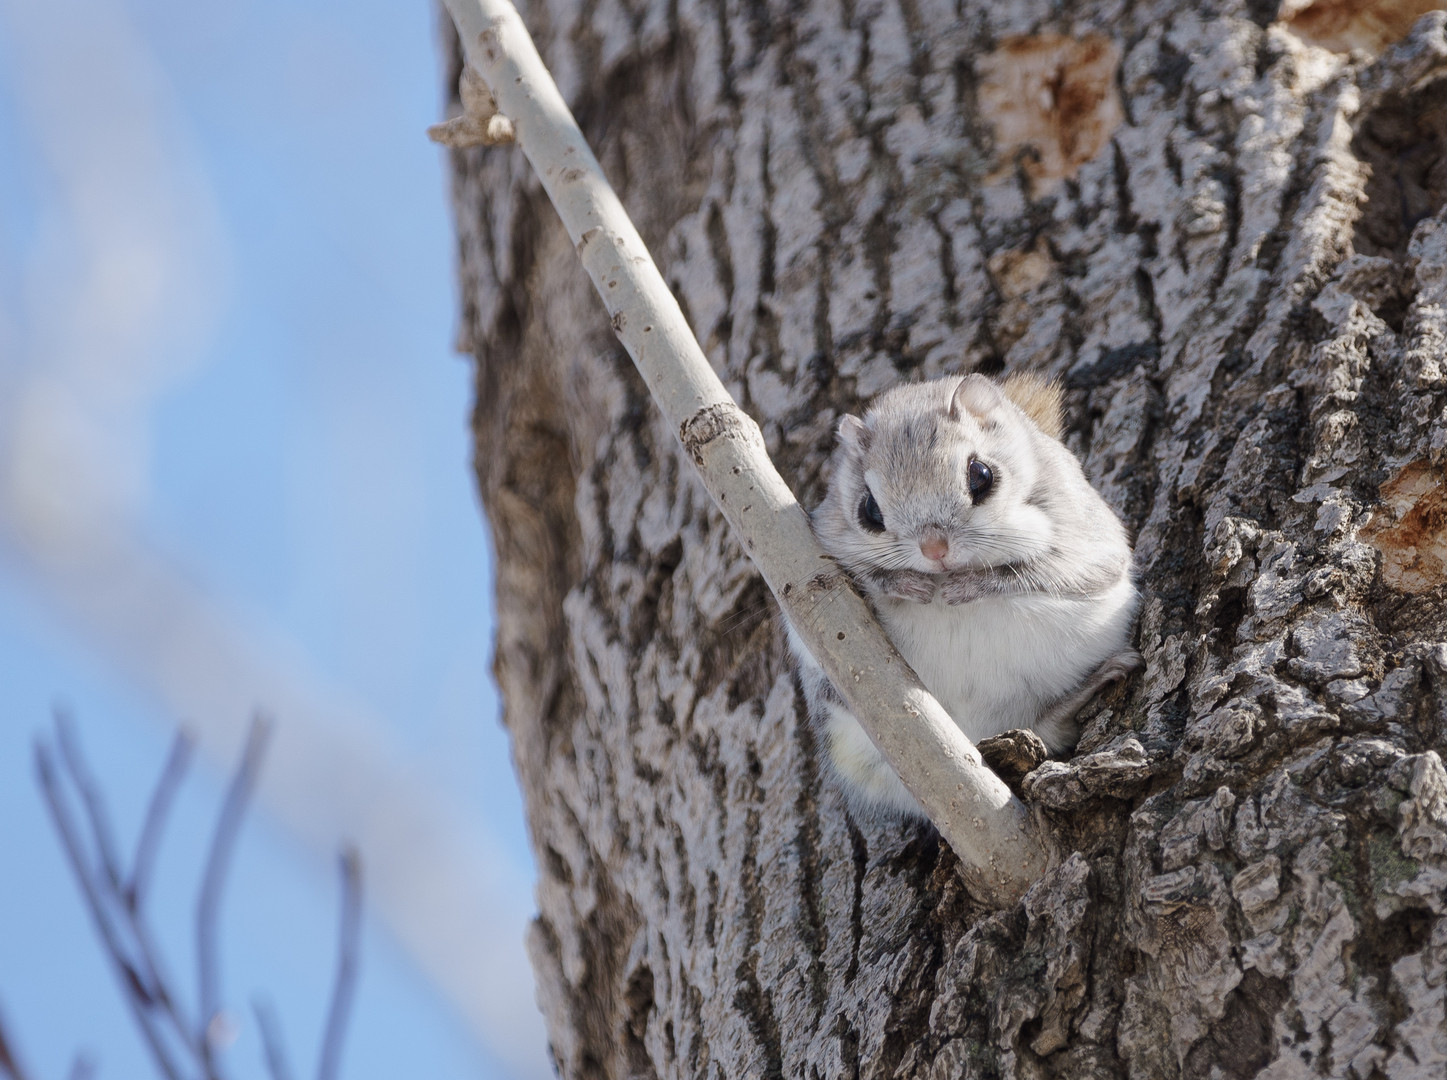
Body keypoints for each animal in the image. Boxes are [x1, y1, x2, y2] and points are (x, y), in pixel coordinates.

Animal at [786, 372, 1141, 820]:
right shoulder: (819, 541)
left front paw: (969, 585)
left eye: (982, 474)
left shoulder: (1083, 534)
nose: (934, 550)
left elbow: (1064, 570)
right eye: (869, 510)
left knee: (1047, 724)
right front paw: (901, 583)